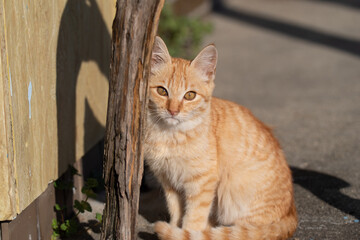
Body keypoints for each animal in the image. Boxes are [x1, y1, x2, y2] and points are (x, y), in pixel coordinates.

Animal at [144, 36, 298, 239]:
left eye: (190, 95)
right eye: (162, 91)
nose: (173, 111)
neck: (170, 135)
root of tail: (291, 213)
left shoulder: (202, 183)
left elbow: (193, 217)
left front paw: (184, 232)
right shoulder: (169, 182)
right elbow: (176, 212)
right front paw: (175, 228)